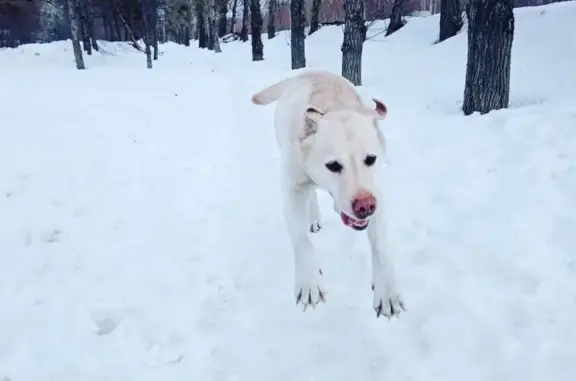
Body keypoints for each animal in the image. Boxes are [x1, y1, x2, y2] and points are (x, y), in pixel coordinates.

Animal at [252, 69, 404, 318]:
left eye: (370, 159)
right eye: (333, 165)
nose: (364, 205)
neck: (334, 105)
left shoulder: (377, 192)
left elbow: (381, 246)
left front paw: (387, 292)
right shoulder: (293, 188)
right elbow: (301, 239)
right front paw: (309, 282)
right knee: (312, 194)